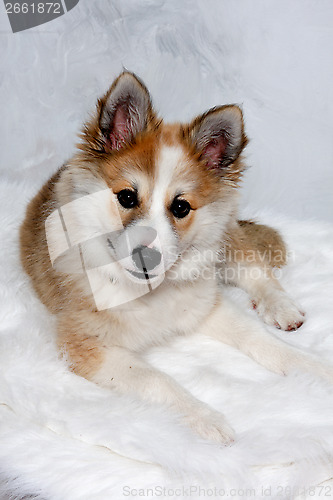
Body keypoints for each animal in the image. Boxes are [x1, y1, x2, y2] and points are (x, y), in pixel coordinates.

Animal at [18, 71, 332, 446]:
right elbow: (157, 379)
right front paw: (206, 417)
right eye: (127, 197)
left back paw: (280, 306)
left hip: (224, 235)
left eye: (180, 207)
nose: (147, 258)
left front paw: (311, 367)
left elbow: (260, 338)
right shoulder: (86, 345)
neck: (152, 294)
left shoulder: (204, 305)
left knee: (253, 267)